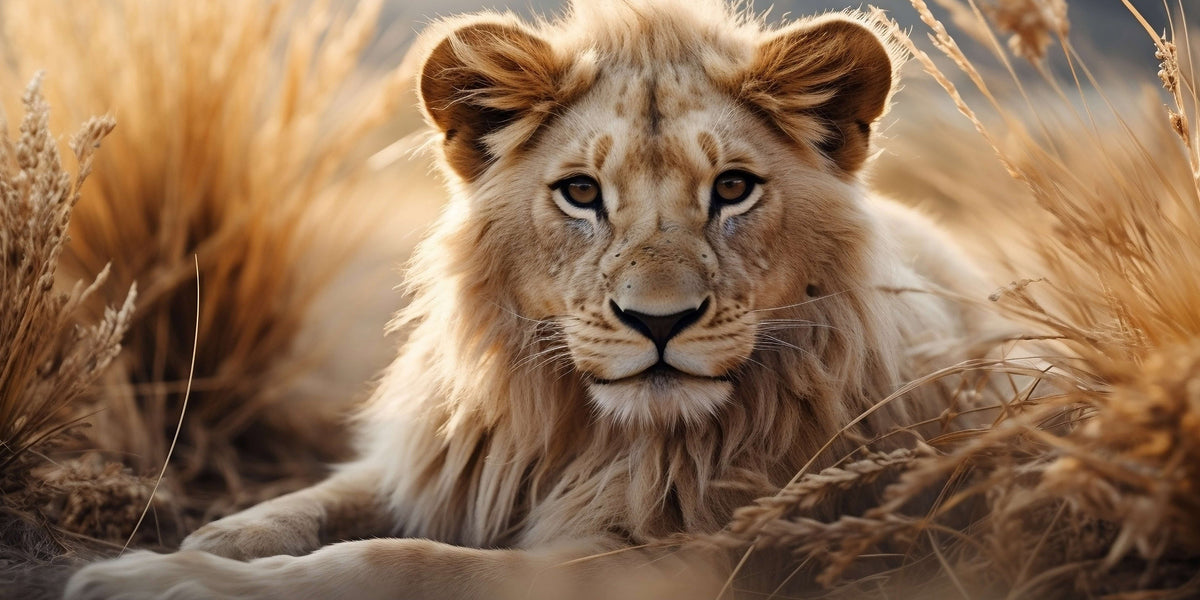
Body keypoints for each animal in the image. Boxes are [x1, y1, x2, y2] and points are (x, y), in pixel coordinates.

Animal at [65, 1, 991, 598]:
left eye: (733, 188)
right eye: (581, 193)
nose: (659, 323)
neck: (581, 430)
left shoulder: (677, 561)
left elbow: (403, 562)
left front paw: (169, 581)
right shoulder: (447, 460)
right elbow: (328, 496)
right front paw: (217, 537)